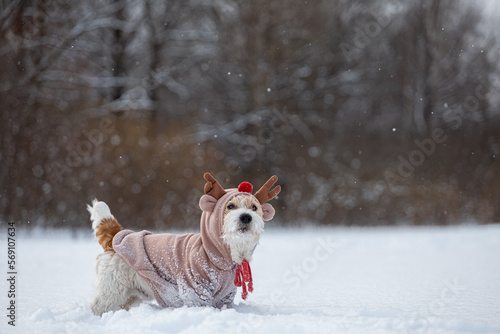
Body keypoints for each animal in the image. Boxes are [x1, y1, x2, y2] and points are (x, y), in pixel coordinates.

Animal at [87, 172, 280, 316]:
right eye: (230, 206)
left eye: (254, 208)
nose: (246, 217)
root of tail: (116, 237)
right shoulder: (195, 290)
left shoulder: (225, 295)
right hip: (112, 290)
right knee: (98, 307)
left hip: (131, 294)